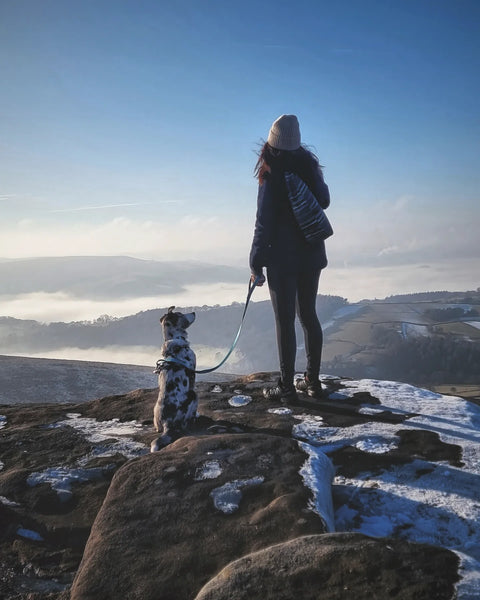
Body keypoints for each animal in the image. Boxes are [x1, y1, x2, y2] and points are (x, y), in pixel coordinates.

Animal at [151, 308, 198, 452]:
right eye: (181, 314)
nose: (194, 312)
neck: (175, 339)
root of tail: (168, 422)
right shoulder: (193, 375)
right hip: (194, 396)